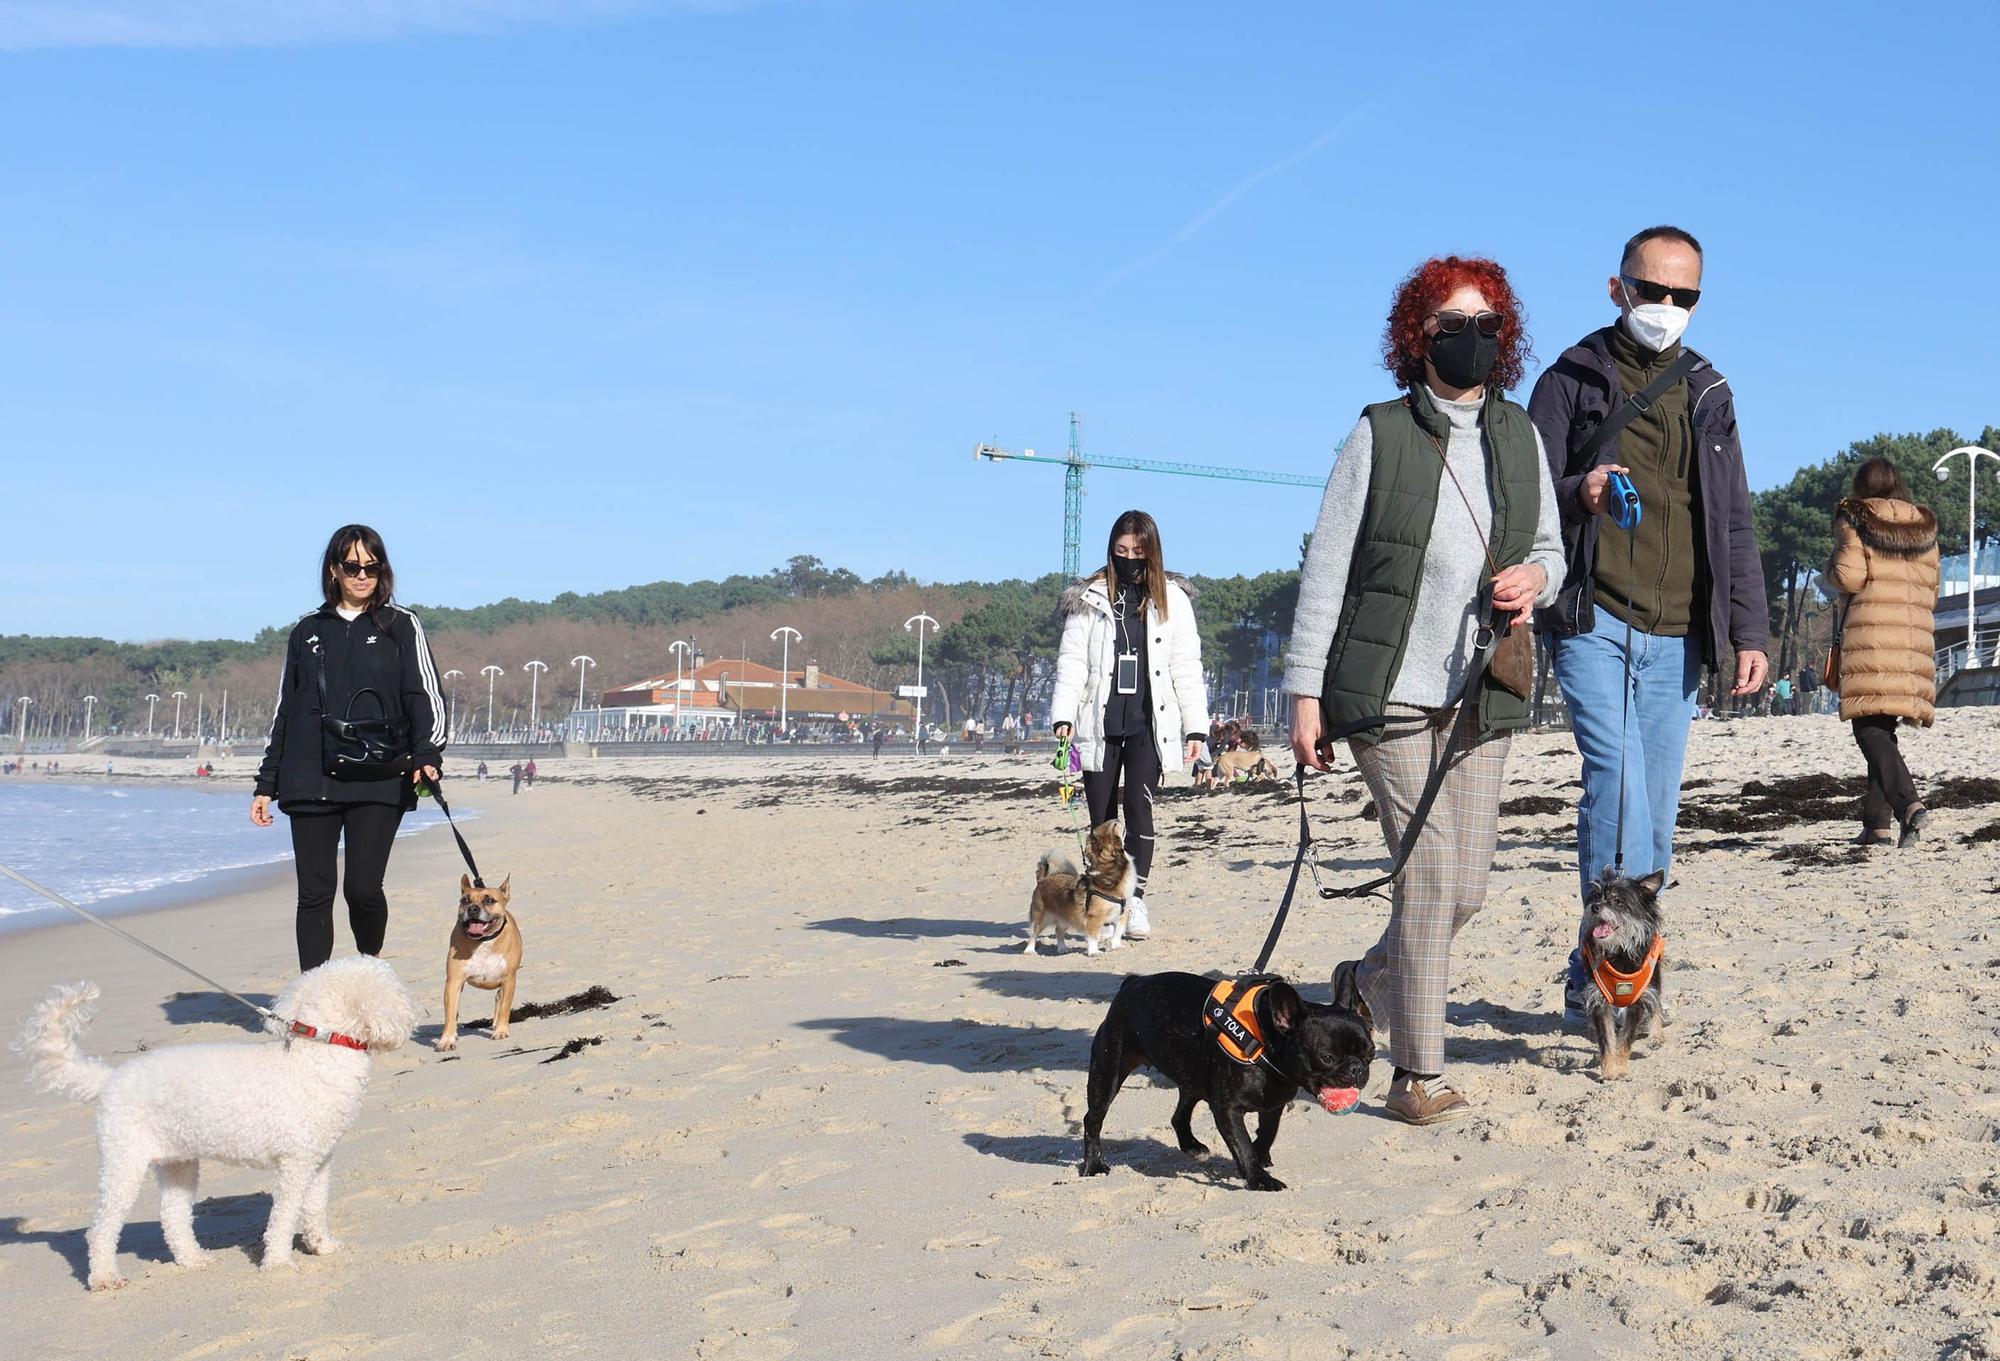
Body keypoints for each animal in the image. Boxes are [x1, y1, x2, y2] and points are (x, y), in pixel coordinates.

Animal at [19, 952, 420, 1288]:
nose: (414, 1015)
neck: (317, 1054)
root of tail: (109, 1079)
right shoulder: (294, 1164)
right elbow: (284, 1216)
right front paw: (278, 1264)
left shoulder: (319, 1160)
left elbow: (316, 1208)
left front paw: (322, 1246)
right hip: (124, 1161)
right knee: (101, 1228)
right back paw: (104, 1278)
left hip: (179, 1163)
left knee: (173, 1216)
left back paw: (193, 1259)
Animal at [438, 872, 520, 1048]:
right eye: (465, 900)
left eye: (489, 900)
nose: (472, 909)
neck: (482, 941)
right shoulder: (454, 982)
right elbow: (450, 1012)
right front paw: (447, 1038)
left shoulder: (509, 980)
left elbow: (505, 1006)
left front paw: (501, 1031)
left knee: (499, 999)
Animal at [1024, 820, 1136, 956]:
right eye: (1114, 825)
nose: (1118, 820)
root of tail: (1043, 879)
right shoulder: (1095, 918)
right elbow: (1094, 937)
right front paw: (1094, 952)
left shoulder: (1121, 915)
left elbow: (1117, 933)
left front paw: (1116, 946)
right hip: (1041, 917)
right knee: (1034, 933)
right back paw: (1029, 950)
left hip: (1065, 917)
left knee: (1058, 930)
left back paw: (1063, 948)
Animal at [1576, 872, 1672, 1080]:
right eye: (1595, 896)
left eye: (1618, 902)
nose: (1595, 907)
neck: (1619, 952)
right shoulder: (1599, 999)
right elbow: (1607, 1040)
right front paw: (1610, 1070)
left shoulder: (1638, 1000)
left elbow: (1625, 1039)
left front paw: (1619, 1067)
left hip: (1654, 976)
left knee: (1656, 1002)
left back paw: (1656, 1036)